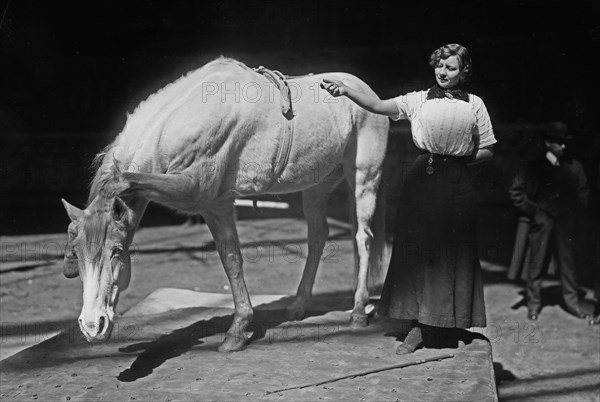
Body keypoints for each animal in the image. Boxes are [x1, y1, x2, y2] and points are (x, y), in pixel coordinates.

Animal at [62, 57, 390, 352]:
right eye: (76, 253)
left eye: (117, 251)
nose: (92, 326)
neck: (190, 116)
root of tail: (367, 92)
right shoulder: (214, 206)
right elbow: (230, 258)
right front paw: (239, 329)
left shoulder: (197, 189)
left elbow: (130, 179)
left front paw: (237, 330)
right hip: (316, 188)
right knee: (318, 237)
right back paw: (298, 305)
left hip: (364, 177)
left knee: (363, 238)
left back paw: (358, 312)